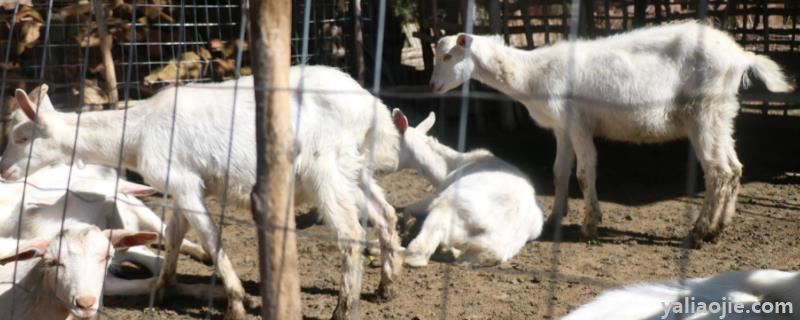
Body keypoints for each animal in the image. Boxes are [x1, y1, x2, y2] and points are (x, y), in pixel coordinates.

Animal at [394, 110, 544, 268]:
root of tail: (494, 245)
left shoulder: (437, 196)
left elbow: (409, 207)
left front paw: (407, 223)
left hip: (447, 208)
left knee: (418, 253)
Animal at [428, 20, 792, 248]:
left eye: (449, 55)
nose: (432, 86)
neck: (531, 74)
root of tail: (740, 56)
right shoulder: (561, 128)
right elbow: (559, 173)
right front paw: (555, 217)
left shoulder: (578, 124)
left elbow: (584, 173)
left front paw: (590, 224)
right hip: (722, 114)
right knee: (733, 168)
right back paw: (720, 228)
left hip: (705, 111)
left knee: (718, 171)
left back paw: (701, 232)